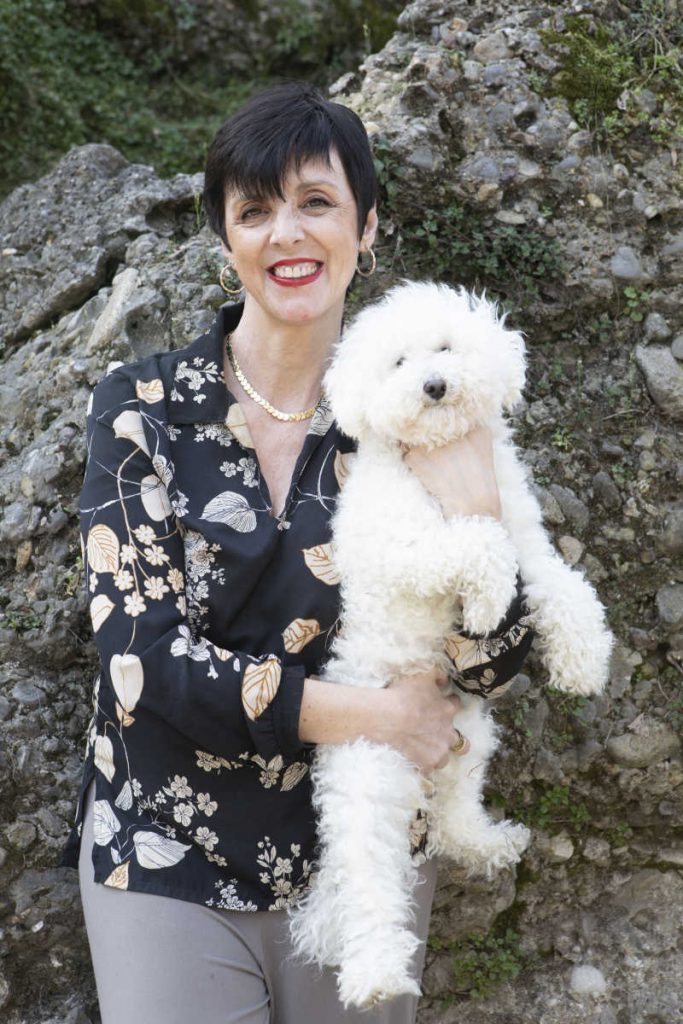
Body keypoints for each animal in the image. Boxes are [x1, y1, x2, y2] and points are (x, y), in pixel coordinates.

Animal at [288, 278, 614, 1007]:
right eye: (398, 362)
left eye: (443, 347)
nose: (434, 385)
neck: (437, 459)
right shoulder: (405, 547)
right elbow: (475, 541)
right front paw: (489, 602)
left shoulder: (523, 533)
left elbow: (560, 583)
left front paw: (583, 656)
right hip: (368, 783)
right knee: (368, 885)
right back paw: (376, 973)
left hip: (471, 738)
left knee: (453, 818)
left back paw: (490, 844)